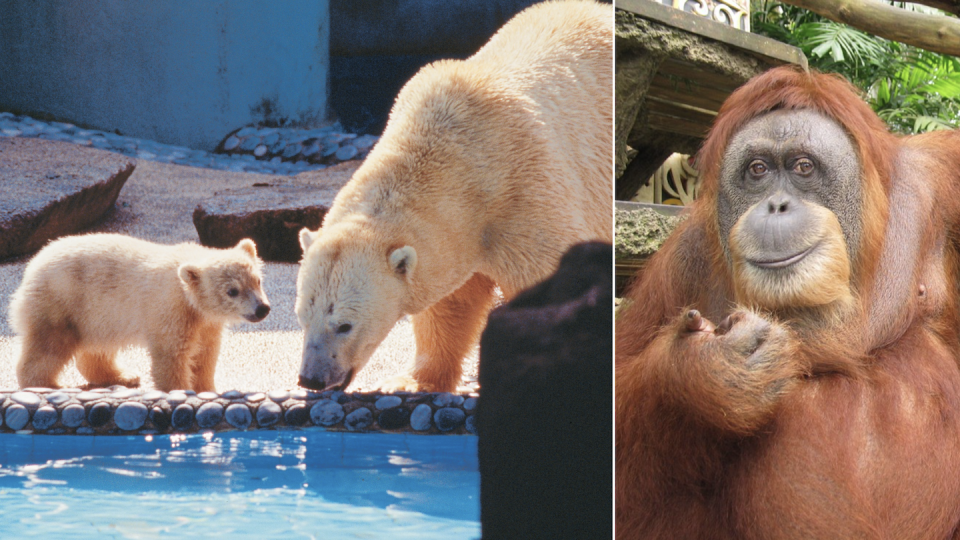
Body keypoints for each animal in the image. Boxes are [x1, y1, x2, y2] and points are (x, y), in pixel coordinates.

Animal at [8, 234, 270, 390]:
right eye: (232, 291)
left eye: (257, 281)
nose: (262, 309)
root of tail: (33, 265)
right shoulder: (171, 310)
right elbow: (172, 356)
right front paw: (180, 392)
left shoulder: (206, 322)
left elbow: (204, 354)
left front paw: (206, 390)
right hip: (61, 302)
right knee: (49, 345)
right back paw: (47, 386)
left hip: (97, 314)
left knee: (96, 349)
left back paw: (123, 376)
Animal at [292, 0, 612, 392]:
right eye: (302, 316)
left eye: (344, 325)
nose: (311, 379)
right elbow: (450, 304)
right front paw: (413, 382)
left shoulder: (526, 192)